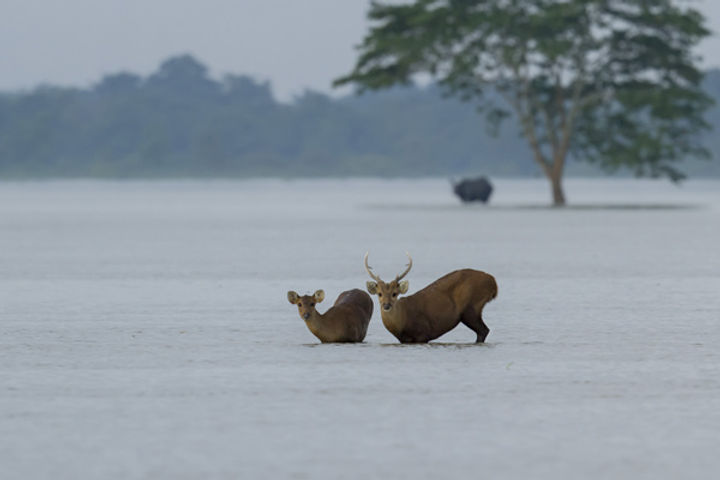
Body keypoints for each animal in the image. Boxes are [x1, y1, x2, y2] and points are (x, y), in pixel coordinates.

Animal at [362, 253, 498, 344]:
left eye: (394, 293)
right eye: (379, 293)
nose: (386, 305)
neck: (403, 322)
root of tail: (493, 283)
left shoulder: (423, 333)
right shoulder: (404, 340)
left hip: (471, 308)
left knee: (483, 330)